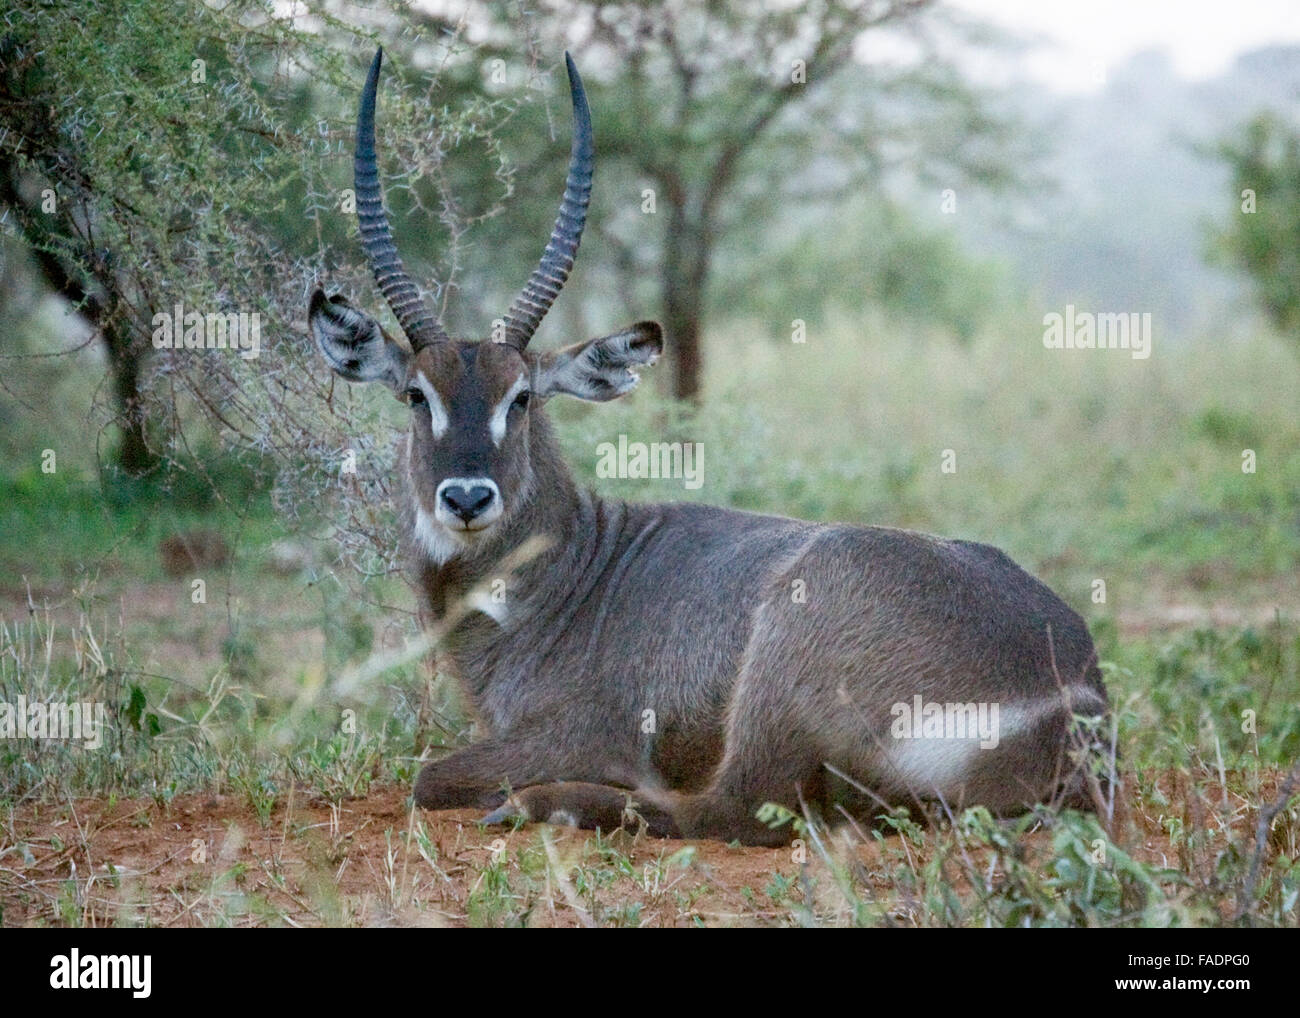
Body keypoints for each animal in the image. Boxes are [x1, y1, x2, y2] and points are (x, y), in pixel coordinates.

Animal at [306, 49, 1107, 842]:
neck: (572, 568)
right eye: (417, 395)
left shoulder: (583, 732)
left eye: (522, 397)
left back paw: (542, 802)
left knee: (730, 810)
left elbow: (430, 777)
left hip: (783, 661)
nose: (468, 498)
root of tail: (1069, 698)